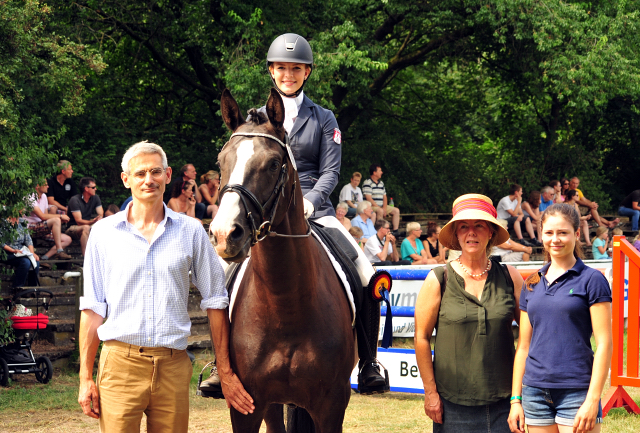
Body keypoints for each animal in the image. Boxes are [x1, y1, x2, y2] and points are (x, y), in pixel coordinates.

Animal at [210, 88, 358, 432]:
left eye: (273, 163)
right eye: (221, 162)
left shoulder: (331, 407)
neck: (284, 304)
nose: (225, 234)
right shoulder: (247, 406)